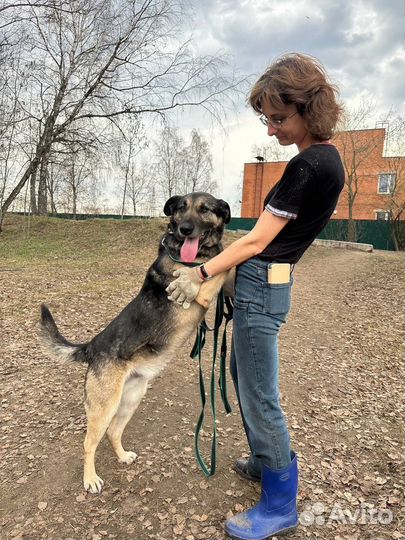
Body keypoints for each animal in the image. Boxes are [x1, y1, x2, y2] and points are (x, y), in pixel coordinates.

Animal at [40, 193, 234, 494]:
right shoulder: (199, 292)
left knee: (113, 432)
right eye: (181, 208)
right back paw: (90, 479)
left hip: (131, 397)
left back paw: (122, 456)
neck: (192, 255)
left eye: (204, 209)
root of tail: (92, 346)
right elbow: (221, 267)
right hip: (104, 407)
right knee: (88, 443)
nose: (185, 229)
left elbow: (224, 265)